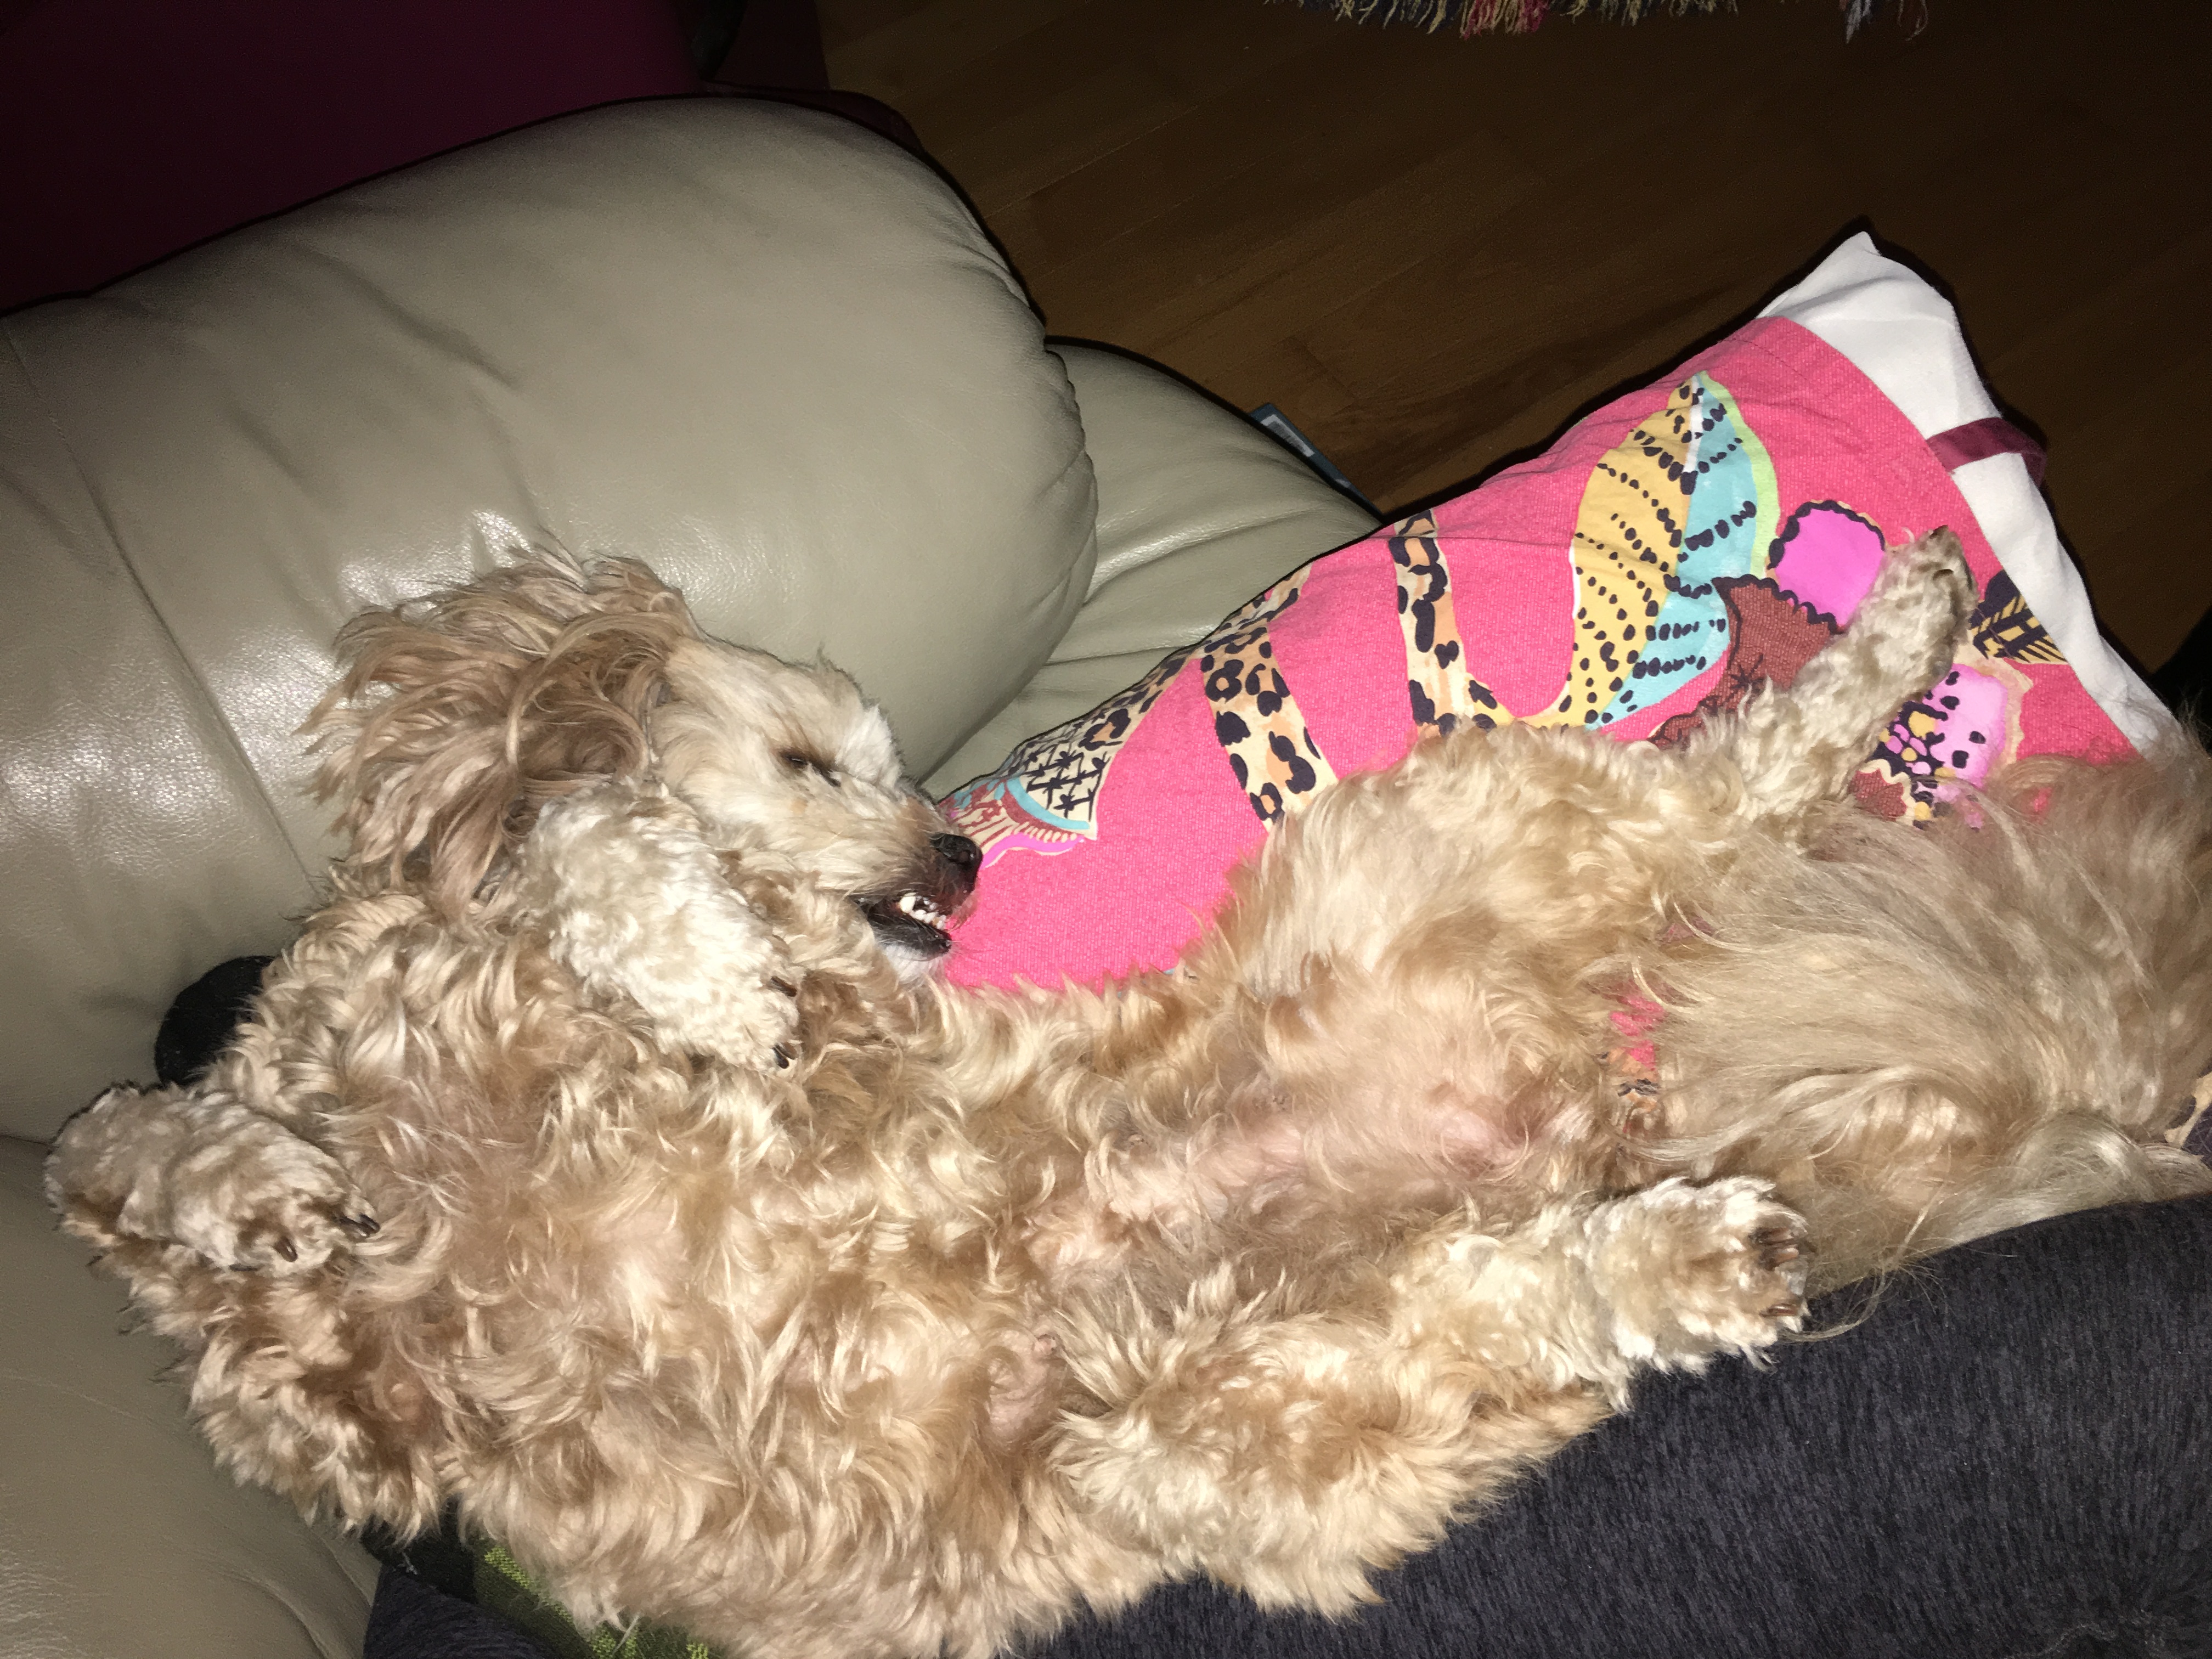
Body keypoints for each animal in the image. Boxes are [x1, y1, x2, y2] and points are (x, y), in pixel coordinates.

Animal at [48, 540, 2212, 1657]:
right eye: (816, 756)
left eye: (893, 766)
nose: (960, 850)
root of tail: (1579, 1112)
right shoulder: (320, 1412)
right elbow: (120, 1159)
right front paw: (245, 1177)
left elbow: (605, 861)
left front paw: (694, 970)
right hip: (1210, 1440)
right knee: (1514, 1291)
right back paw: (1687, 1250)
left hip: (1470, 843)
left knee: (1748, 768)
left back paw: (1898, 634)